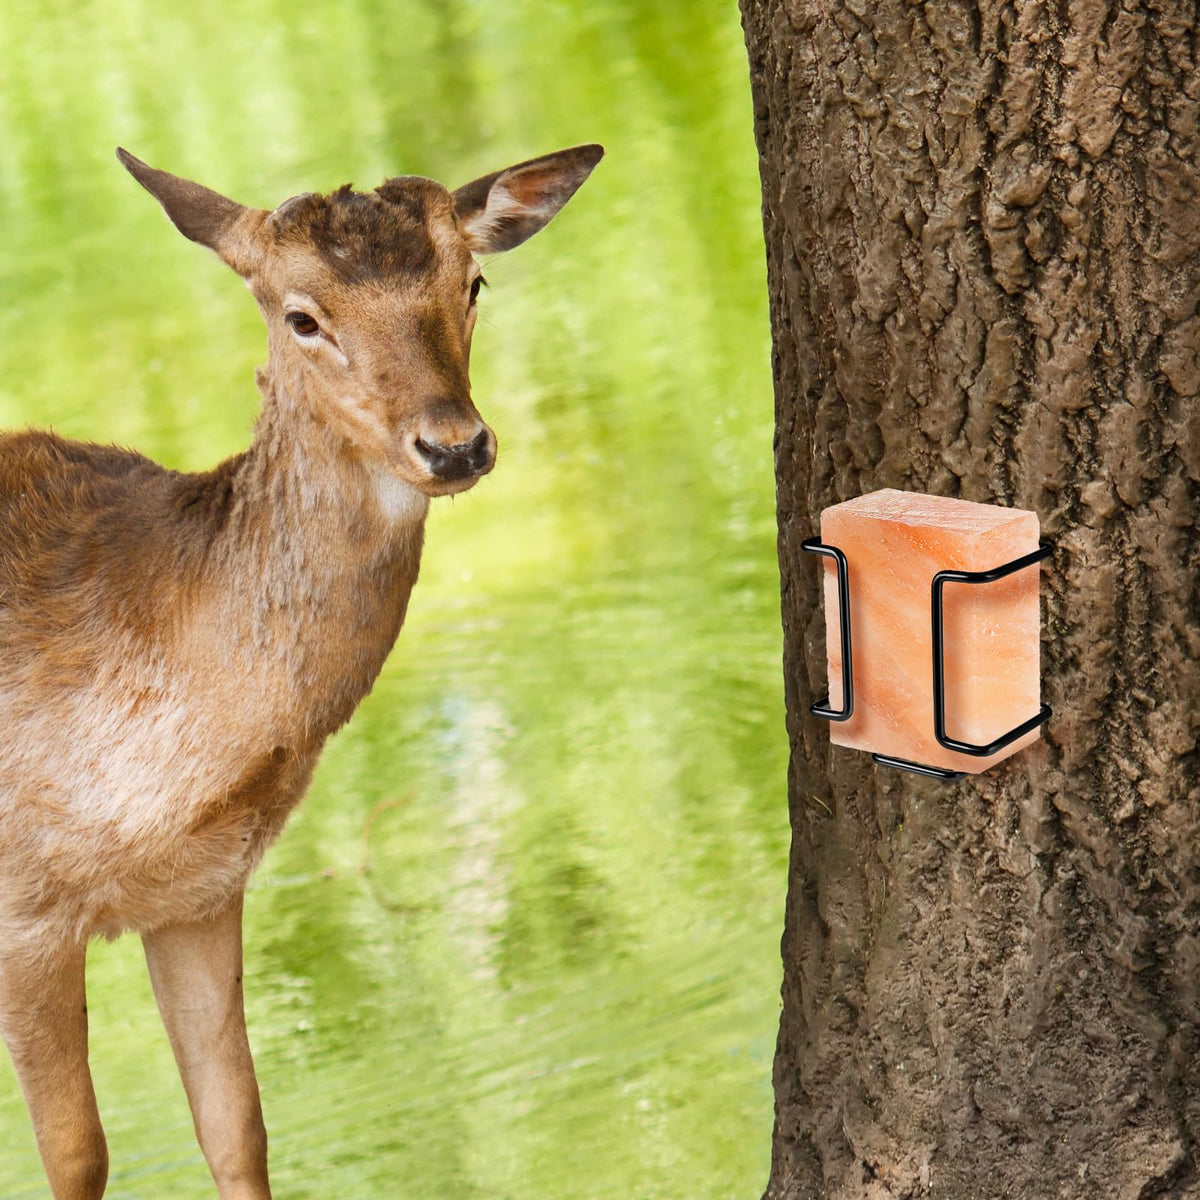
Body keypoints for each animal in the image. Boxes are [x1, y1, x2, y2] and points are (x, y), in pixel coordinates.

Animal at [0, 141, 603, 1200]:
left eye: (472, 282)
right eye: (302, 316)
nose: (455, 444)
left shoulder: (200, 894)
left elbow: (237, 1125)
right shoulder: (22, 916)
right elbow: (76, 1159)